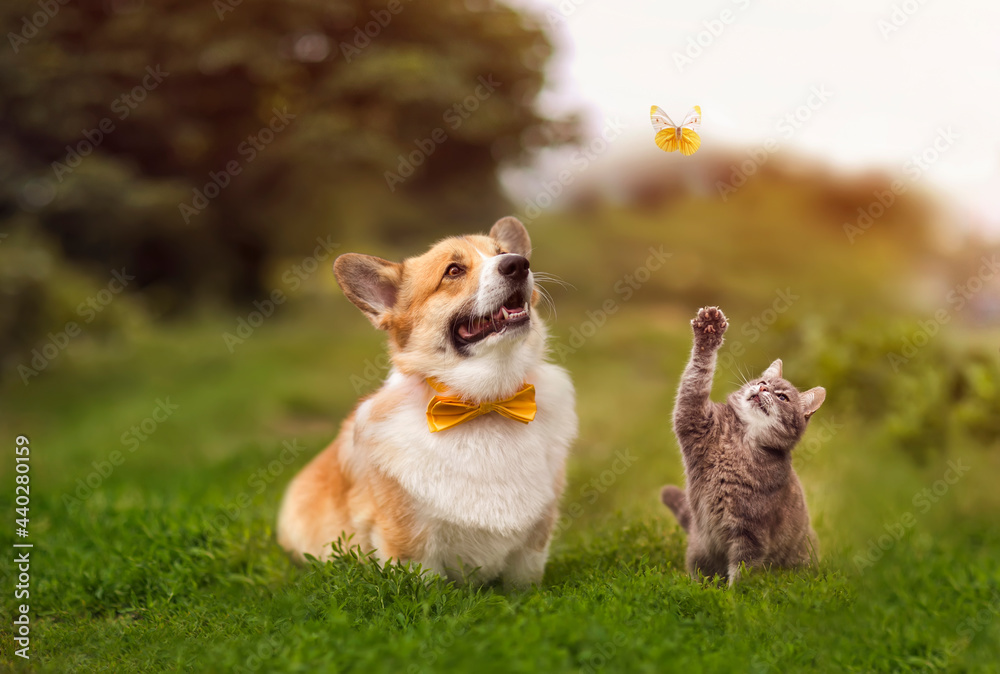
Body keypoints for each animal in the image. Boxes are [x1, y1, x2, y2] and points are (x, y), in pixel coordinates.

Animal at [280, 218, 580, 584]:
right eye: (453, 271)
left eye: (502, 252)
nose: (518, 264)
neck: (483, 401)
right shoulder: (411, 544)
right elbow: (427, 584)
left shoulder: (534, 543)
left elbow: (524, 581)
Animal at [664, 304, 820, 584]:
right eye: (762, 382)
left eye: (782, 397)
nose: (762, 389)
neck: (740, 439)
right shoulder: (693, 416)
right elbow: (697, 376)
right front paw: (709, 330)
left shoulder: (751, 533)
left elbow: (742, 571)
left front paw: (733, 594)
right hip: (699, 549)